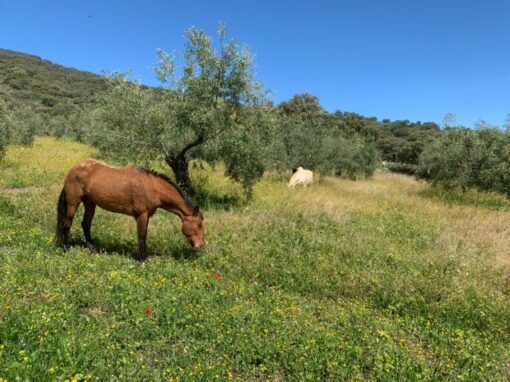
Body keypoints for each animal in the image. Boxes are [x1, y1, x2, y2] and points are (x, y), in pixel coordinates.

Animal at [52, 158, 203, 260]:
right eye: (199, 225)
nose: (200, 246)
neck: (152, 187)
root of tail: (74, 168)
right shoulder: (142, 215)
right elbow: (142, 237)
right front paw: (143, 260)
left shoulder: (146, 216)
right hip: (73, 202)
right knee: (67, 223)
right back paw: (65, 247)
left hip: (90, 203)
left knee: (85, 224)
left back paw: (93, 248)